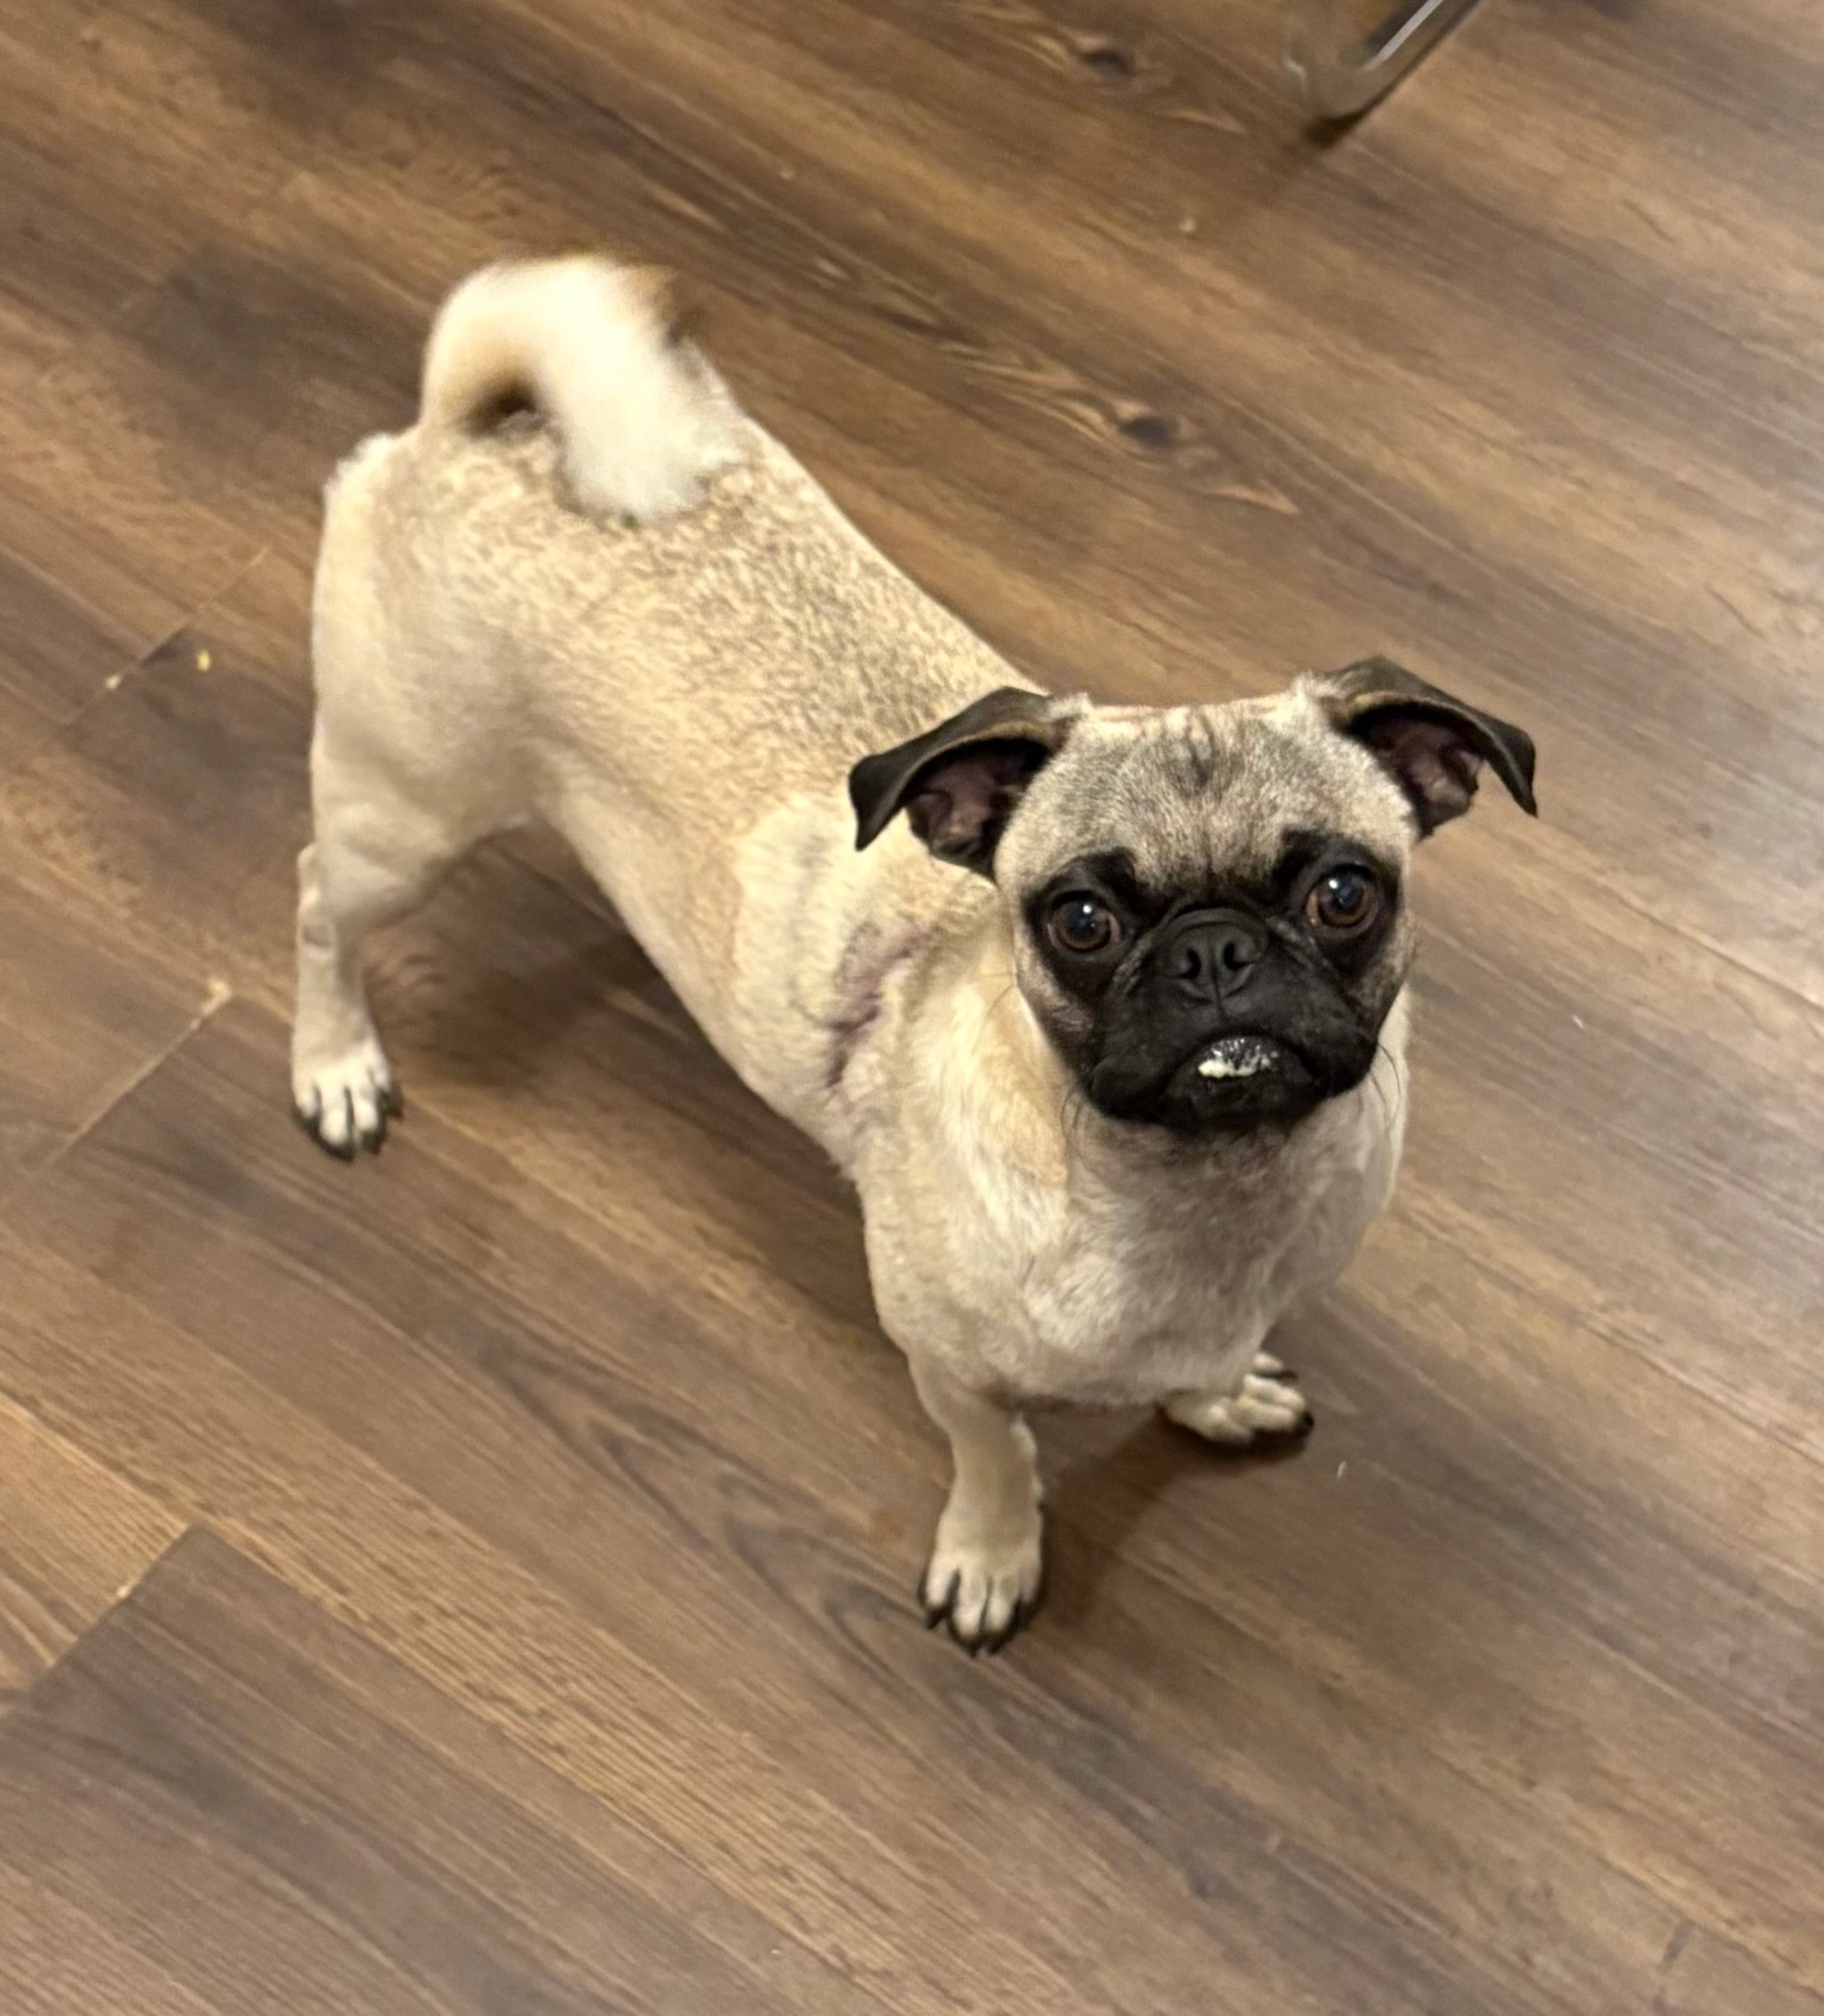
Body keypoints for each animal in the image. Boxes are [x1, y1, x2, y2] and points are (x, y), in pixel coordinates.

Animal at [294, 256, 1536, 1651]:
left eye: (1341, 894)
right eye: (1080, 921)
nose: (1214, 952)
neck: (1199, 1196)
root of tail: (474, 429)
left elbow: (1204, 1369)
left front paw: (1210, 1400)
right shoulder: (947, 1367)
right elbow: (1000, 1456)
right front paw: (994, 1553)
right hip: (405, 819)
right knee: (315, 906)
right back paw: (336, 1068)